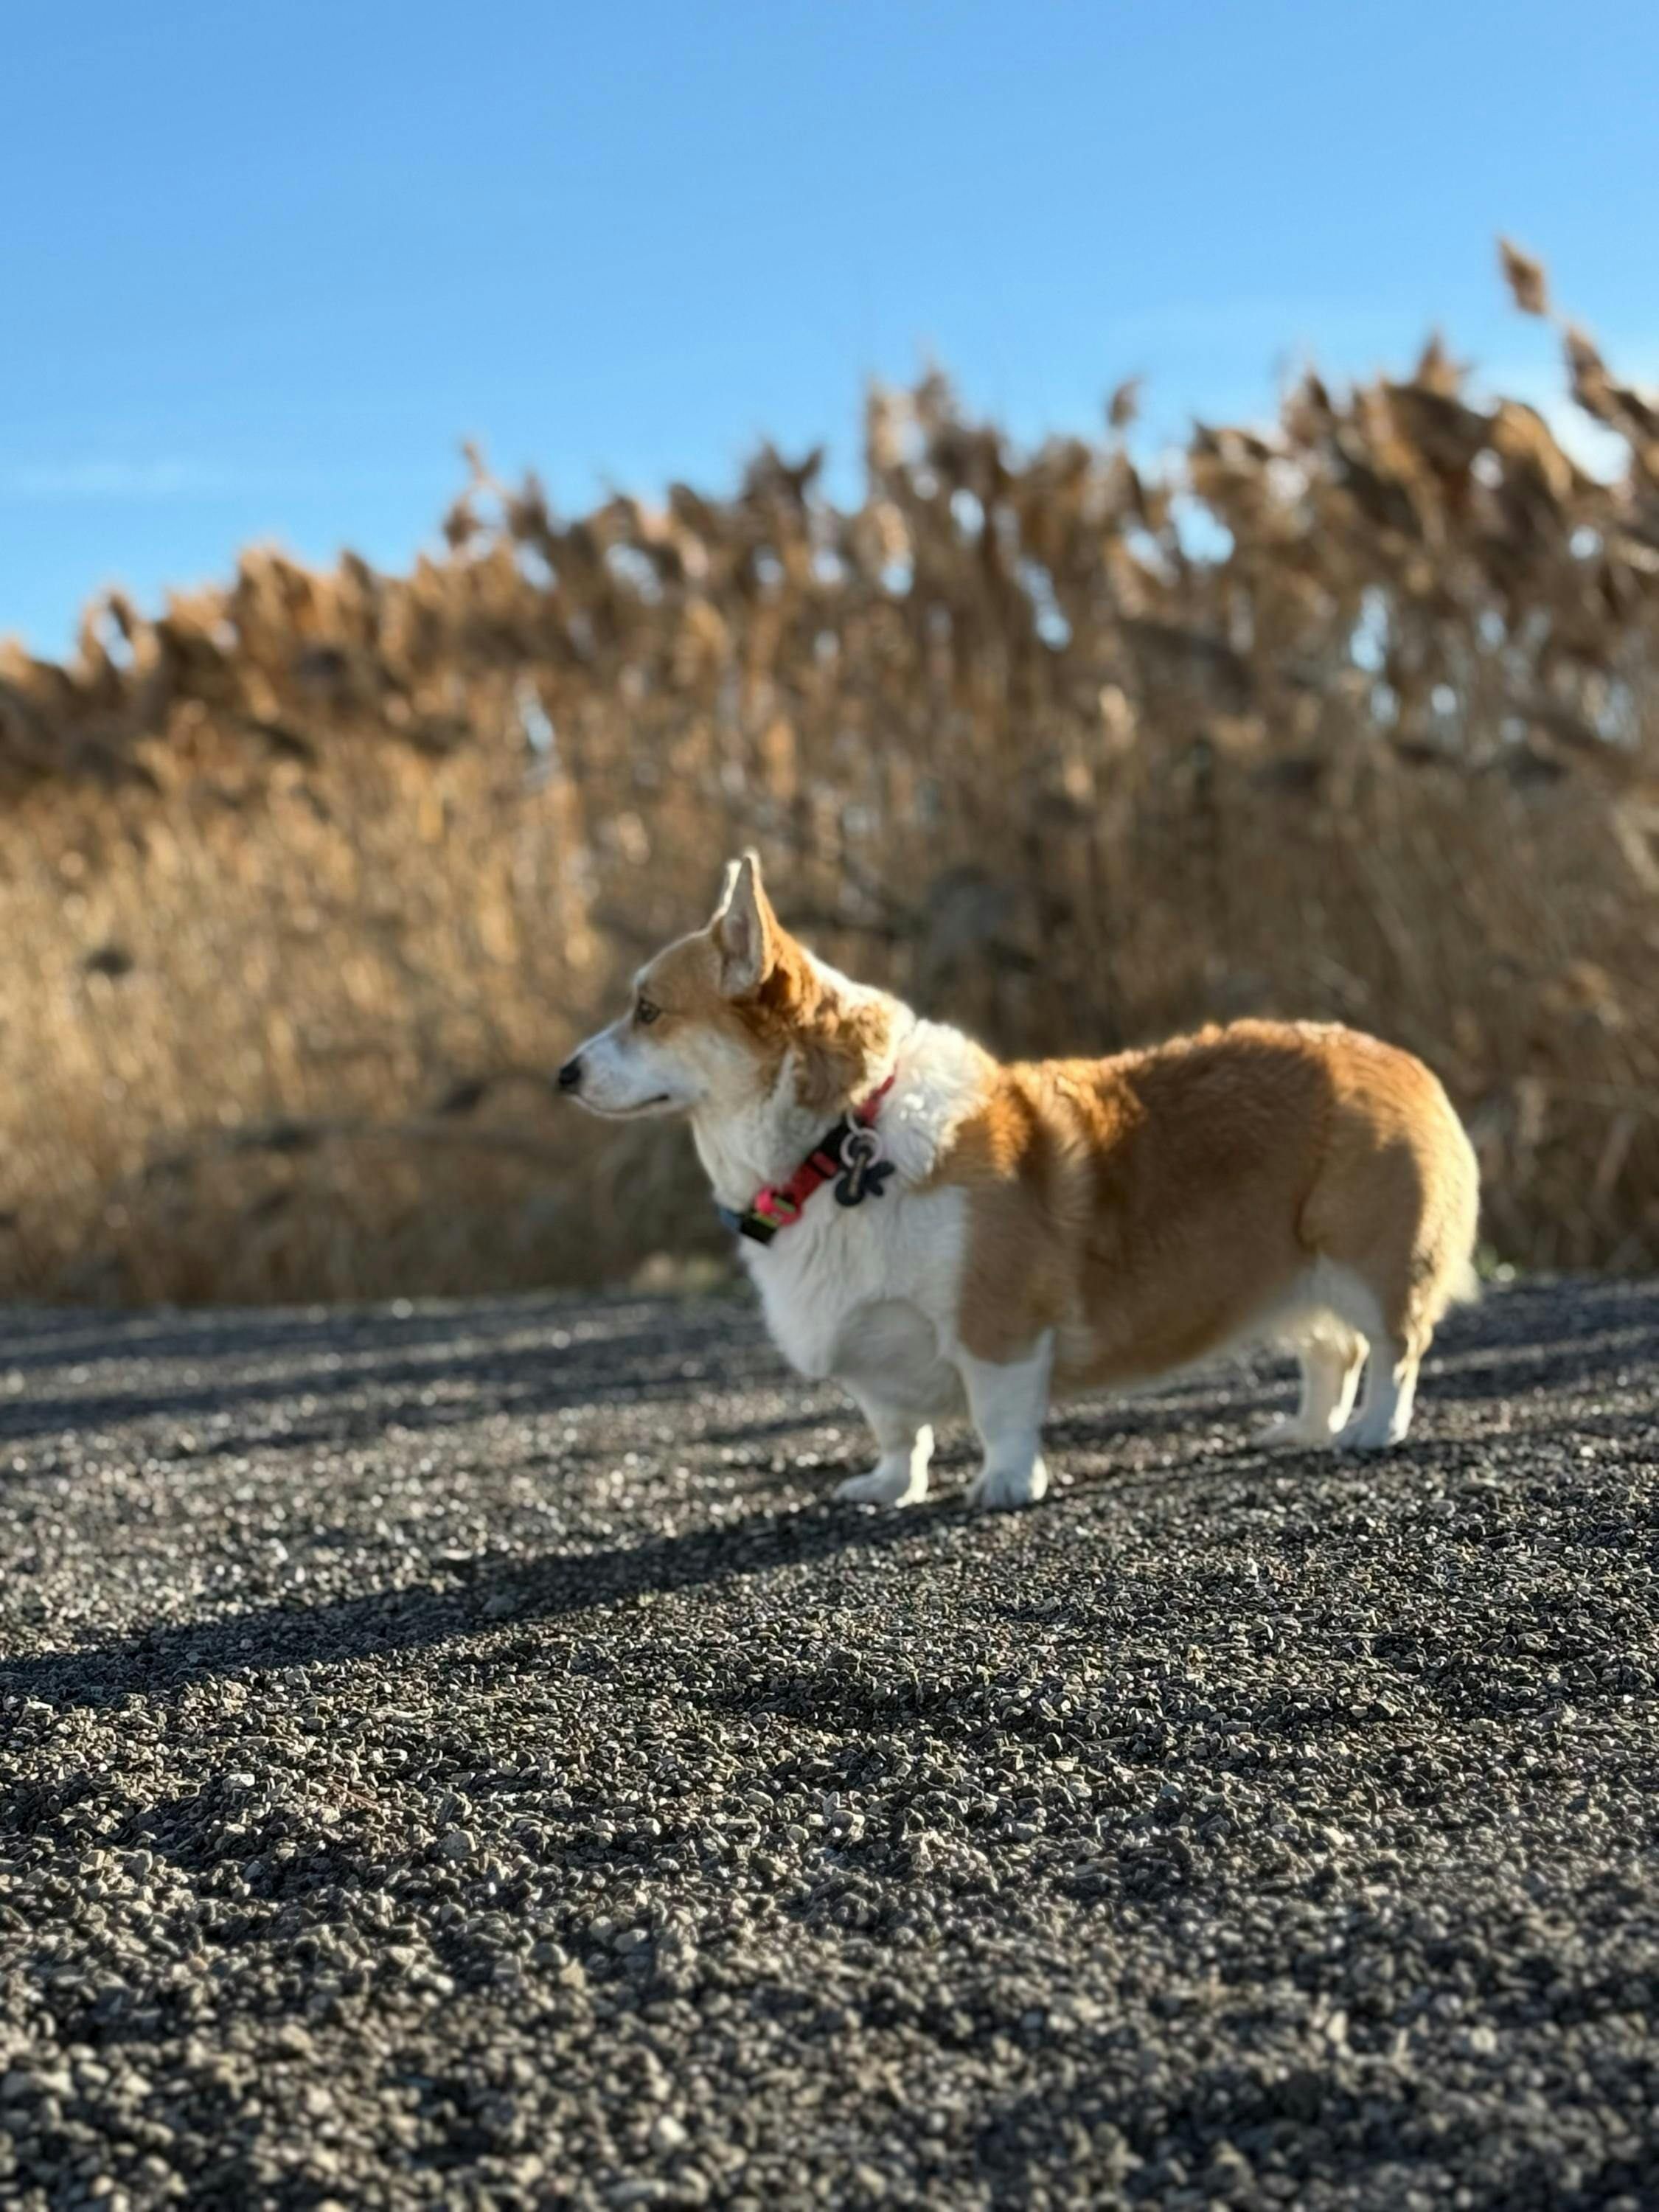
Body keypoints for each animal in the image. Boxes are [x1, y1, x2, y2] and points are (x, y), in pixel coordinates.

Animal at [559, 852, 1480, 1509]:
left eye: (648, 1010)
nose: (561, 1076)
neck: (842, 1136)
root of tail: (1400, 1061)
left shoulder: (997, 1324)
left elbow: (1001, 1414)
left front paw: (1005, 1485)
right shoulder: (875, 1361)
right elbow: (898, 1433)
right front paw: (888, 1488)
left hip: (1371, 1262)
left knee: (1394, 1347)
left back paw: (1371, 1431)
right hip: (1288, 1279)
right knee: (1334, 1350)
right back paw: (1305, 1428)